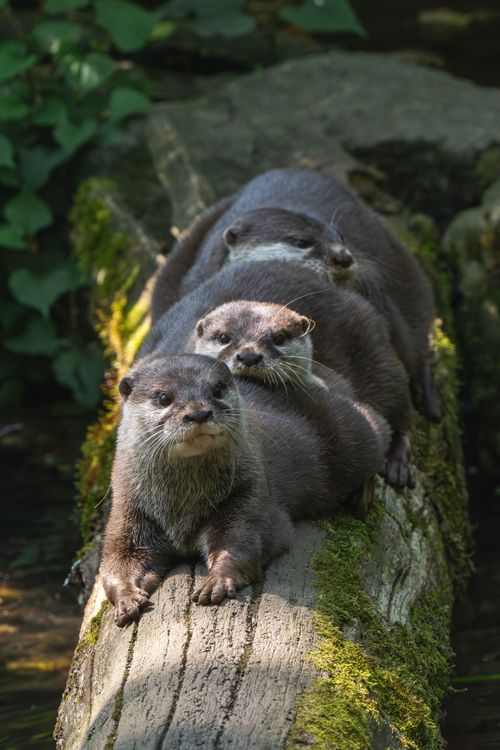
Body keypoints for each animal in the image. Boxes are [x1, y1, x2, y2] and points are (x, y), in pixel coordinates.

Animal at [101, 354, 389, 626]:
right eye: (163, 398)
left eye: (217, 389)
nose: (198, 413)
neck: (182, 505)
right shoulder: (129, 513)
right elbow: (116, 563)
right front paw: (126, 598)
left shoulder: (248, 494)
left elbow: (242, 543)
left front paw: (216, 580)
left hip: (349, 434)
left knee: (378, 426)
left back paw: (362, 497)